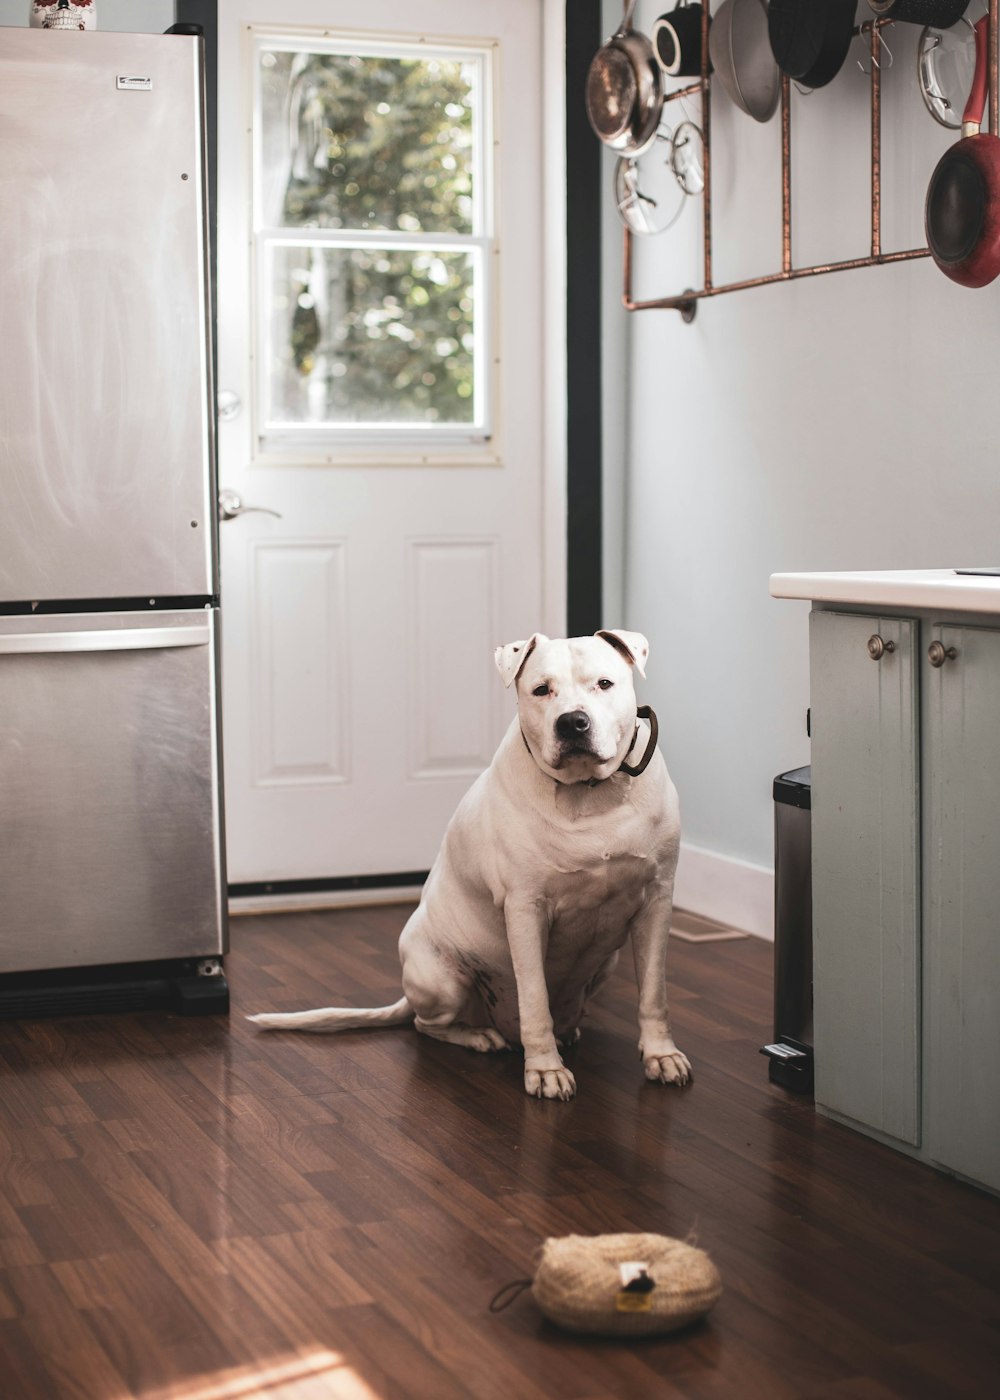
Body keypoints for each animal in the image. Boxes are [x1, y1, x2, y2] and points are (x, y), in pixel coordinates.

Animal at [245, 630, 689, 1097]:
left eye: (604, 683)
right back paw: (481, 1037)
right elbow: (535, 999)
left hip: (605, 964)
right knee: (428, 1025)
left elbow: (653, 993)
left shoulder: (657, 901)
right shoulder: (526, 911)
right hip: (441, 980)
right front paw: (545, 1069)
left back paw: (565, 1030)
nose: (572, 722)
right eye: (541, 690)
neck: (591, 795)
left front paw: (661, 1056)